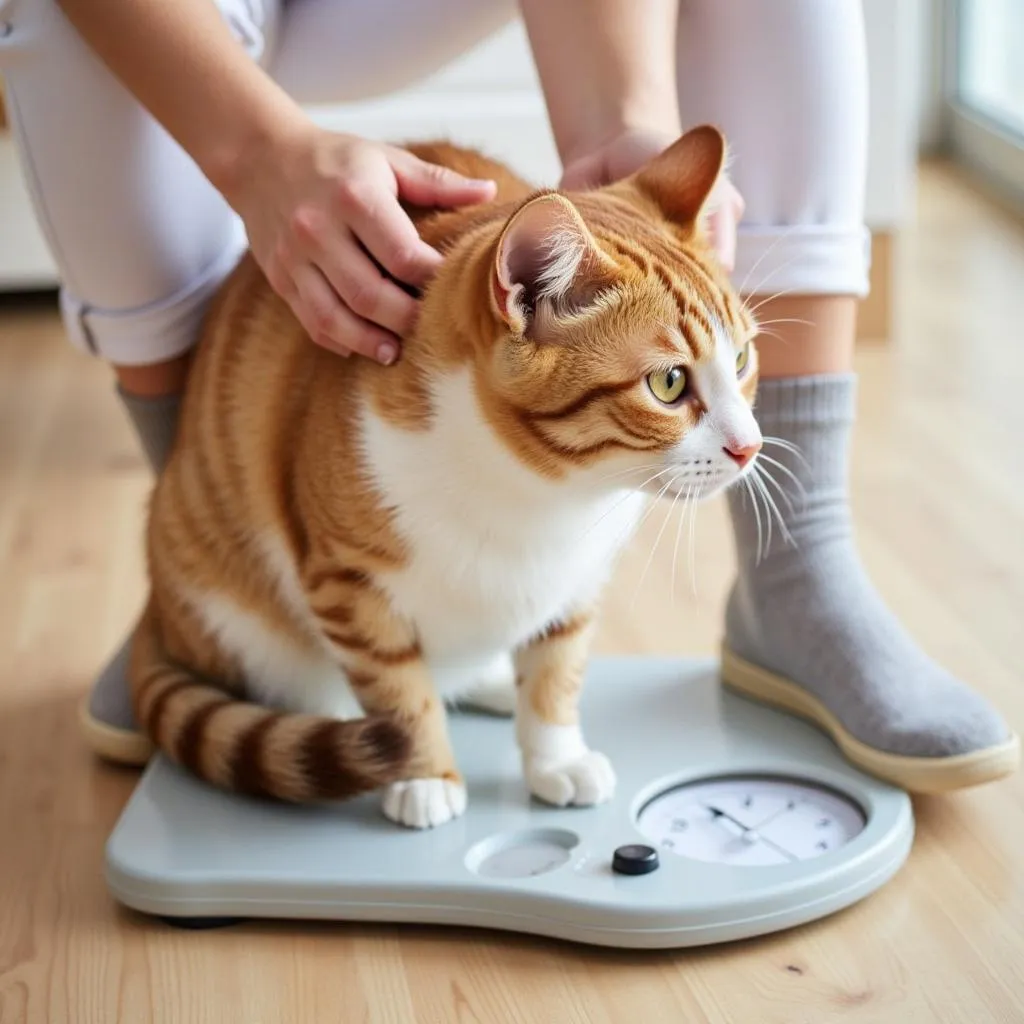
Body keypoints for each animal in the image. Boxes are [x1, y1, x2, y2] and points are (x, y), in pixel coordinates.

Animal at [130, 125, 761, 831]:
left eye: (741, 359)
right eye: (669, 383)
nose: (750, 447)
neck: (542, 493)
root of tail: (158, 611)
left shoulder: (578, 581)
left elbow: (556, 673)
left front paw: (556, 758)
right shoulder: (346, 584)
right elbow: (399, 691)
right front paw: (423, 773)